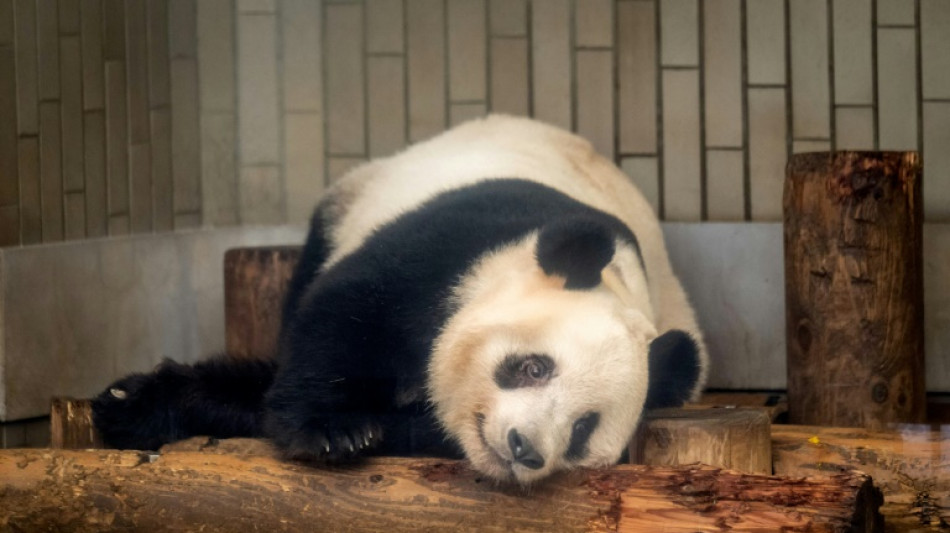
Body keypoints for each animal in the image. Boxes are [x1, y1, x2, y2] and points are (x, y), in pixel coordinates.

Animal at [93, 115, 708, 485]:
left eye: (582, 429)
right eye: (533, 367)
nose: (524, 448)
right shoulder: (455, 249)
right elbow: (340, 320)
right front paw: (333, 431)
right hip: (351, 199)